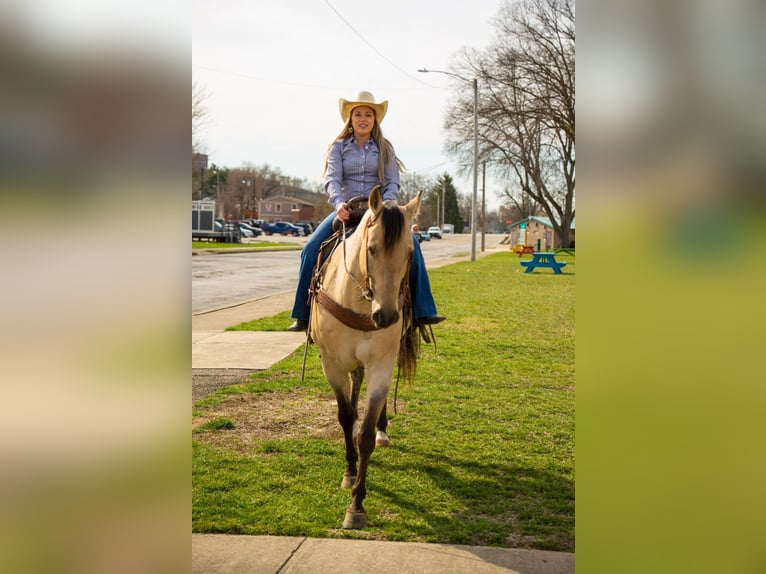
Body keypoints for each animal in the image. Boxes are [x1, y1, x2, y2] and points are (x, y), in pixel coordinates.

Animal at [308, 186, 424, 532]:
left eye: (409, 253)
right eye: (371, 249)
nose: (386, 315)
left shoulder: (381, 364)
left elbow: (367, 435)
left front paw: (357, 505)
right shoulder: (331, 364)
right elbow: (346, 416)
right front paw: (349, 473)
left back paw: (384, 430)